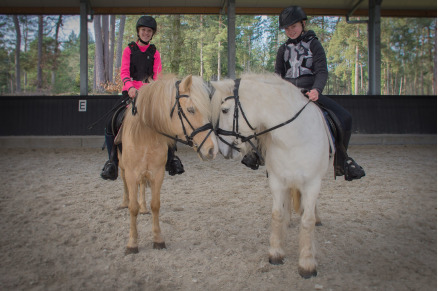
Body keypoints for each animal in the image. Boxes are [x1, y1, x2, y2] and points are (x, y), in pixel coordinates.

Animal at [118, 74, 217, 256]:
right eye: (191, 109)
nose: (213, 149)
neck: (145, 136)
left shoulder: (157, 173)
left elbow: (155, 205)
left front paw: (158, 239)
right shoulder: (131, 173)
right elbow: (132, 208)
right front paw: (132, 243)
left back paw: (143, 208)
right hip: (122, 167)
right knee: (124, 184)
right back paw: (124, 202)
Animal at [211, 74, 332, 280]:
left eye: (225, 110)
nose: (221, 148)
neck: (293, 138)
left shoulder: (312, 184)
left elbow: (307, 221)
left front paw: (307, 264)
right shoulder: (276, 181)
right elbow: (277, 215)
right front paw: (276, 253)